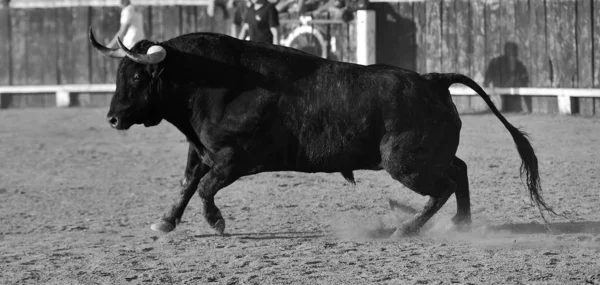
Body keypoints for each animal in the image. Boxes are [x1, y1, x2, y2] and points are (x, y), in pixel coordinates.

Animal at [88, 28, 552, 236]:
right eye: (119, 74)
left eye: (135, 77)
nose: (112, 119)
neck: (214, 83)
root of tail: (431, 80)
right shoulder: (202, 151)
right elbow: (187, 184)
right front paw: (164, 222)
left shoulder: (235, 159)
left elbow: (204, 188)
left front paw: (216, 223)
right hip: (423, 157)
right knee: (460, 170)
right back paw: (461, 224)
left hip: (404, 163)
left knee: (447, 183)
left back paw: (408, 228)